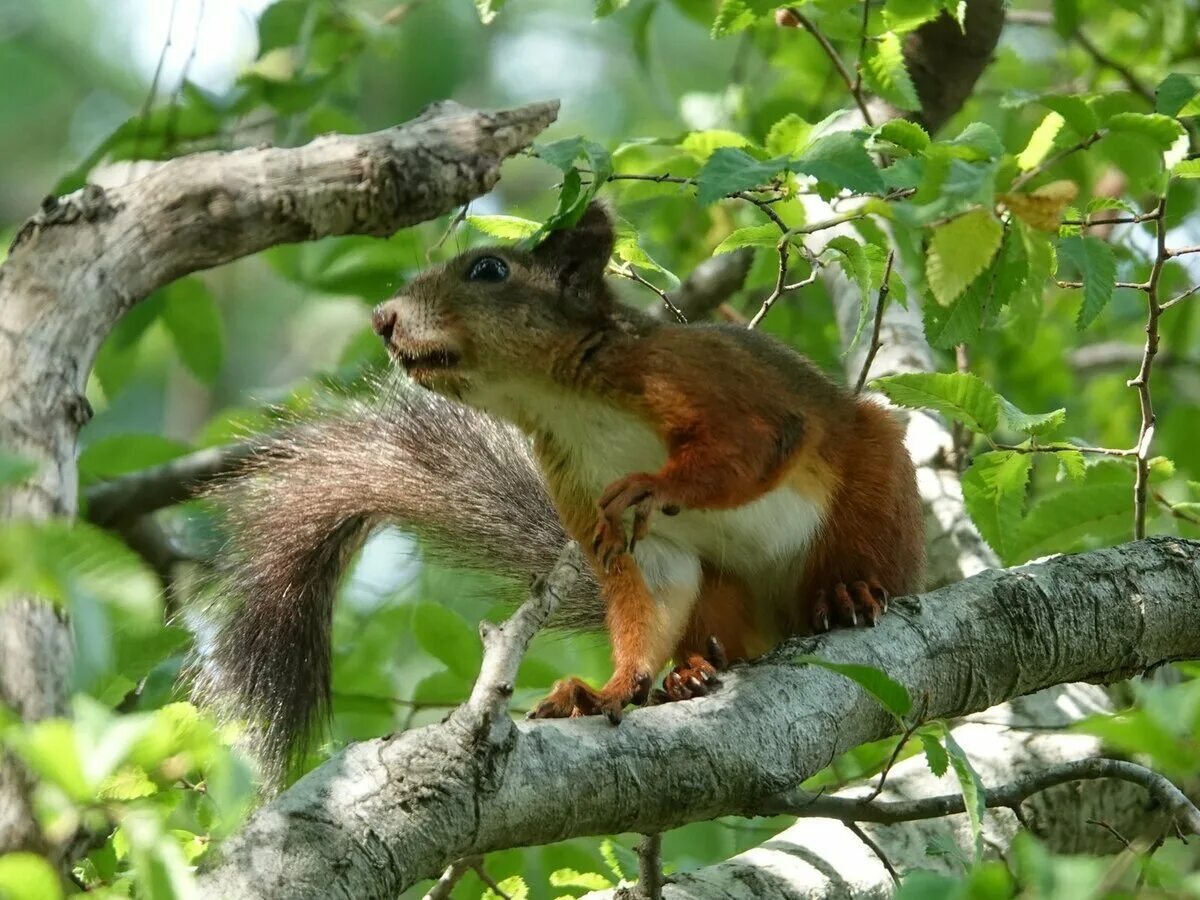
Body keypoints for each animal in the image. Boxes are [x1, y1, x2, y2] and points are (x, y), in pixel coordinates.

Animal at [194, 200, 926, 787]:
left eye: (489, 270)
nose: (382, 319)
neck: (561, 401)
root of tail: (783, 623)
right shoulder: (576, 482)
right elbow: (649, 584)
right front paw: (608, 690)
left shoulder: (696, 376)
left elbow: (755, 443)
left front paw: (652, 485)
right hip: (724, 595)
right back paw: (690, 672)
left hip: (875, 489)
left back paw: (848, 593)